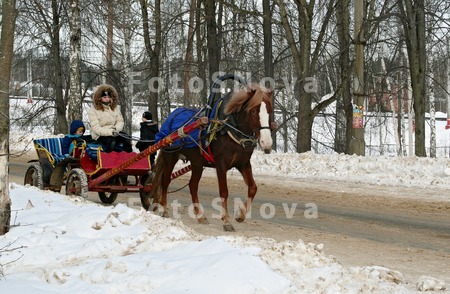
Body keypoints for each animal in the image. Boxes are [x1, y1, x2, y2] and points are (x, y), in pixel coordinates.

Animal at [150, 81, 274, 231]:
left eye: (270, 111)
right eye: (254, 111)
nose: (267, 143)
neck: (230, 129)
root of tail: (172, 115)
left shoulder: (243, 164)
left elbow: (253, 188)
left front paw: (240, 215)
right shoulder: (221, 165)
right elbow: (224, 192)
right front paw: (226, 221)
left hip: (197, 163)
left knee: (192, 186)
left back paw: (200, 216)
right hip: (171, 157)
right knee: (165, 181)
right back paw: (165, 210)